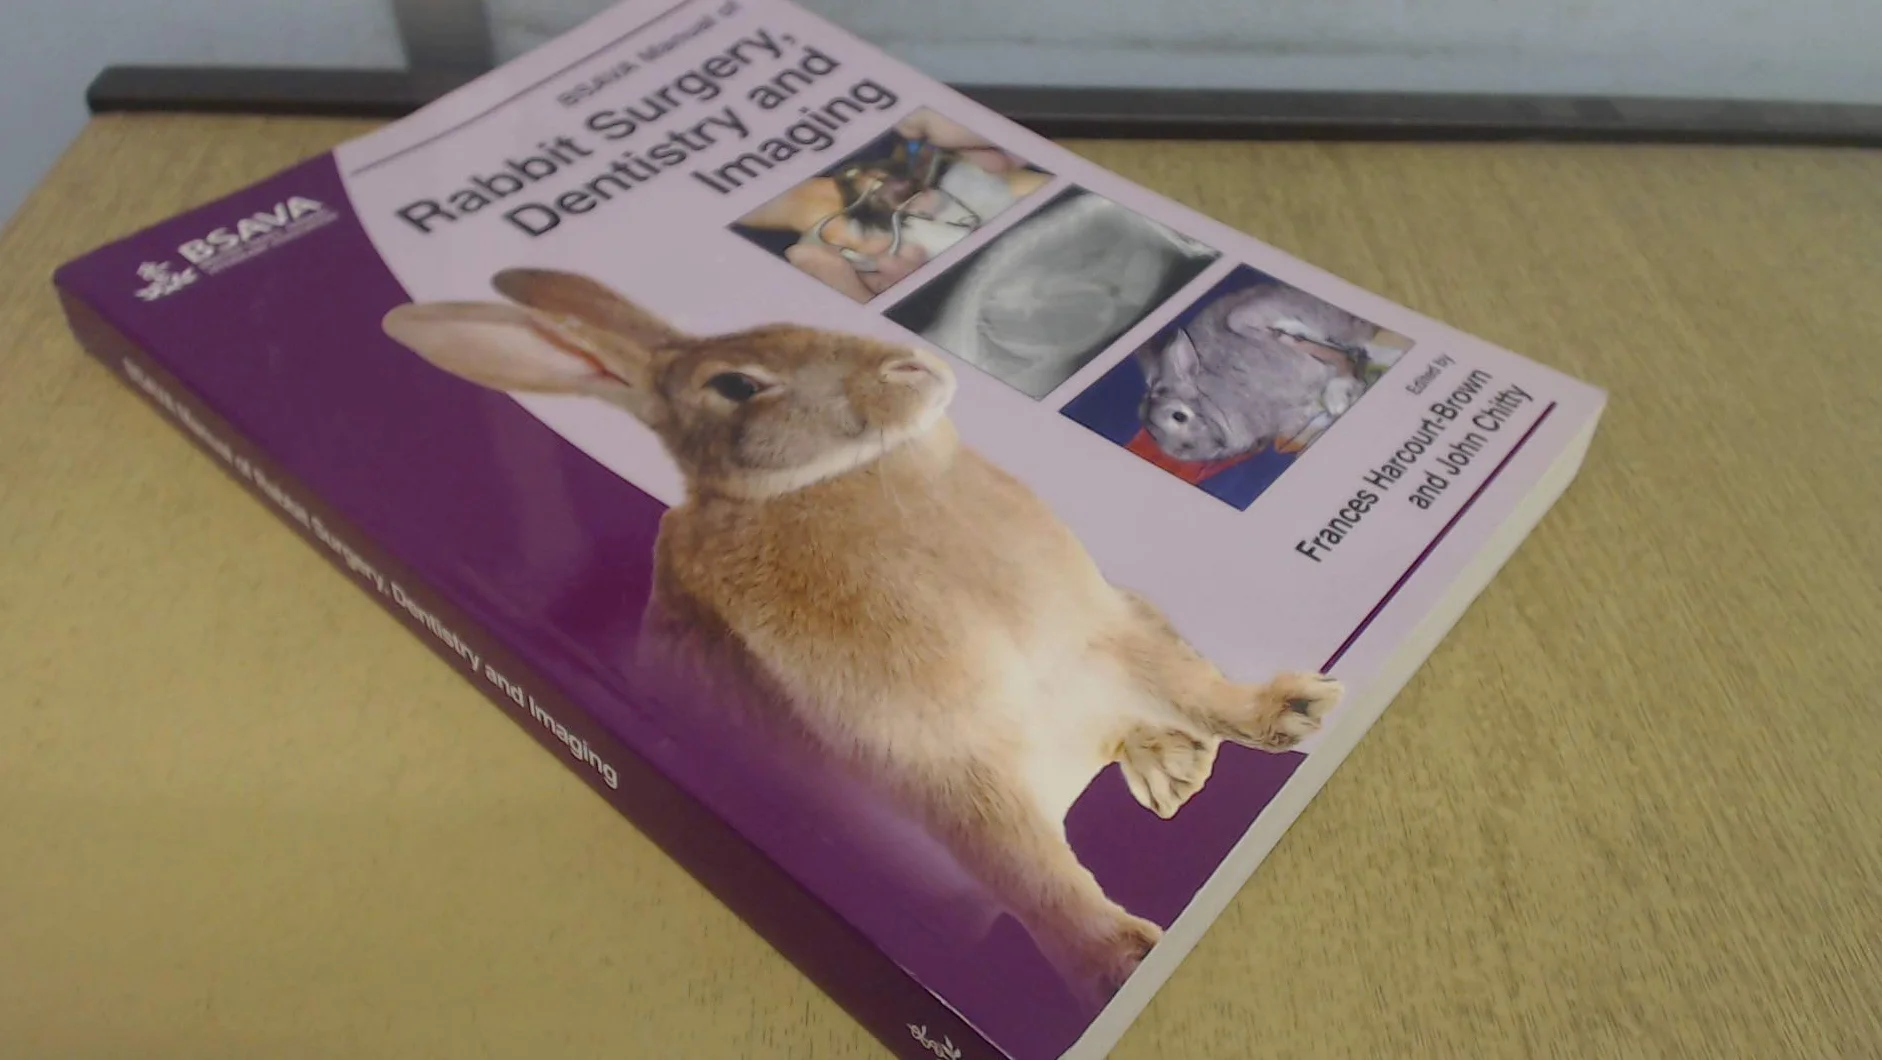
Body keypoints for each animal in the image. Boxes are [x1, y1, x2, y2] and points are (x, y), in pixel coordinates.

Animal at [379, 268, 1344, 1009]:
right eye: (737, 384)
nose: (910, 365)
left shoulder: (1094, 631)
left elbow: (1196, 688)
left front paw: (1300, 711)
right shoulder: (943, 767)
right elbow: (1030, 870)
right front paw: (1122, 964)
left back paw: (1174, 768)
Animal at [1137, 279, 1404, 462]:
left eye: (1178, 416)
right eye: (1154, 437)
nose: (1182, 451)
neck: (1215, 401)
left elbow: (1339, 364)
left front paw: (1338, 397)